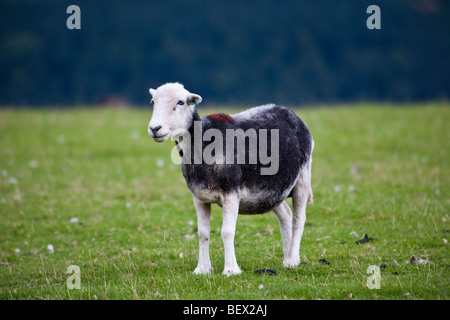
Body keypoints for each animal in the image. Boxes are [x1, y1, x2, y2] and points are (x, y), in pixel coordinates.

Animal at [148, 82, 312, 276]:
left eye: (180, 102)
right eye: (153, 102)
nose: (155, 128)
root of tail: (289, 112)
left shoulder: (231, 193)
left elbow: (227, 232)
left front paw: (230, 270)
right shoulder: (199, 197)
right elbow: (202, 233)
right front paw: (202, 269)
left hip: (303, 177)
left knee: (298, 219)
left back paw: (292, 260)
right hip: (272, 189)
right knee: (286, 215)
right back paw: (287, 258)